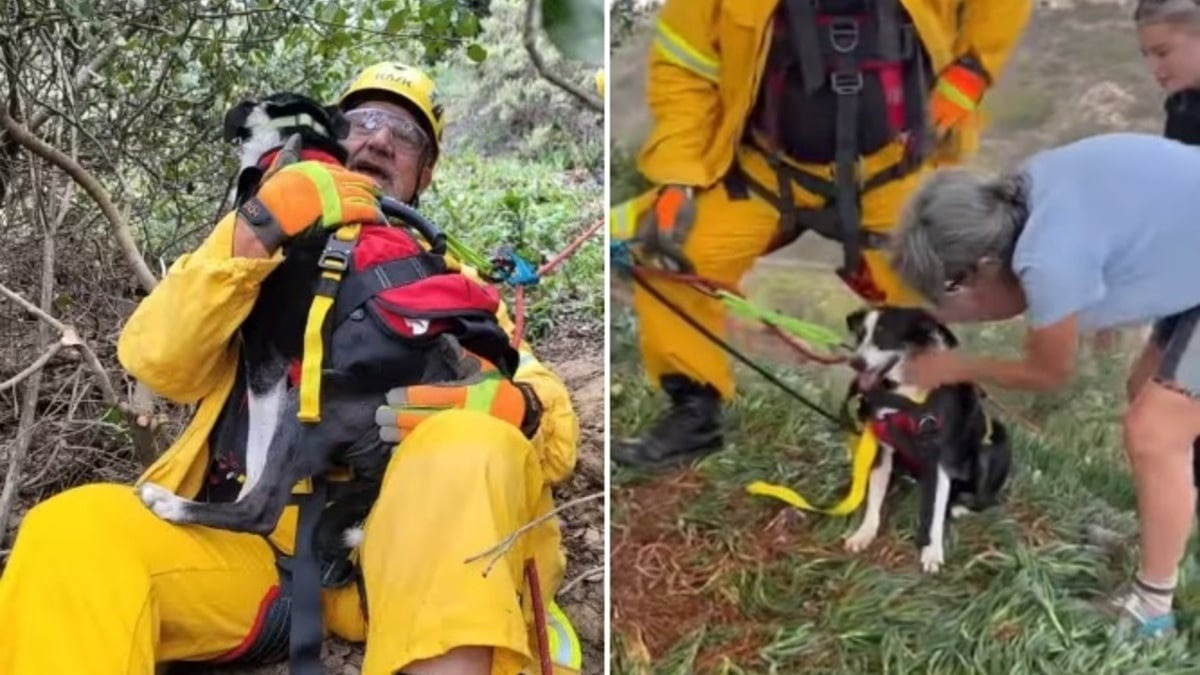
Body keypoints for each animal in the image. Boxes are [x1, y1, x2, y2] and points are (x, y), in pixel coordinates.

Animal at [840, 307, 1017, 569]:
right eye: (861, 335)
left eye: (885, 336)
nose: (856, 362)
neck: (907, 395)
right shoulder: (883, 447)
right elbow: (874, 497)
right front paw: (864, 534)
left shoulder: (940, 459)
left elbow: (935, 511)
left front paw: (932, 553)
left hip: (995, 442)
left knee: (987, 499)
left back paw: (961, 508)